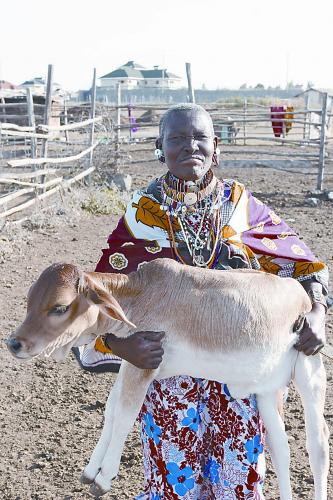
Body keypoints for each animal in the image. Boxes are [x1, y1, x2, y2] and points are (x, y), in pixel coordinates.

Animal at [6, 260, 328, 498]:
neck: (141, 295)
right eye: (29, 300)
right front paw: (90, 470)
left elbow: (124, 415)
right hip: (268, 391)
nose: (14, 343)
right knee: (280, 448)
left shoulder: (145, 368)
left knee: (318, 446)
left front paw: (104, 477)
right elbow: (111, 411)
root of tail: (299, 293)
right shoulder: (133, 361)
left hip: (310, 373)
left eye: (60, 307)